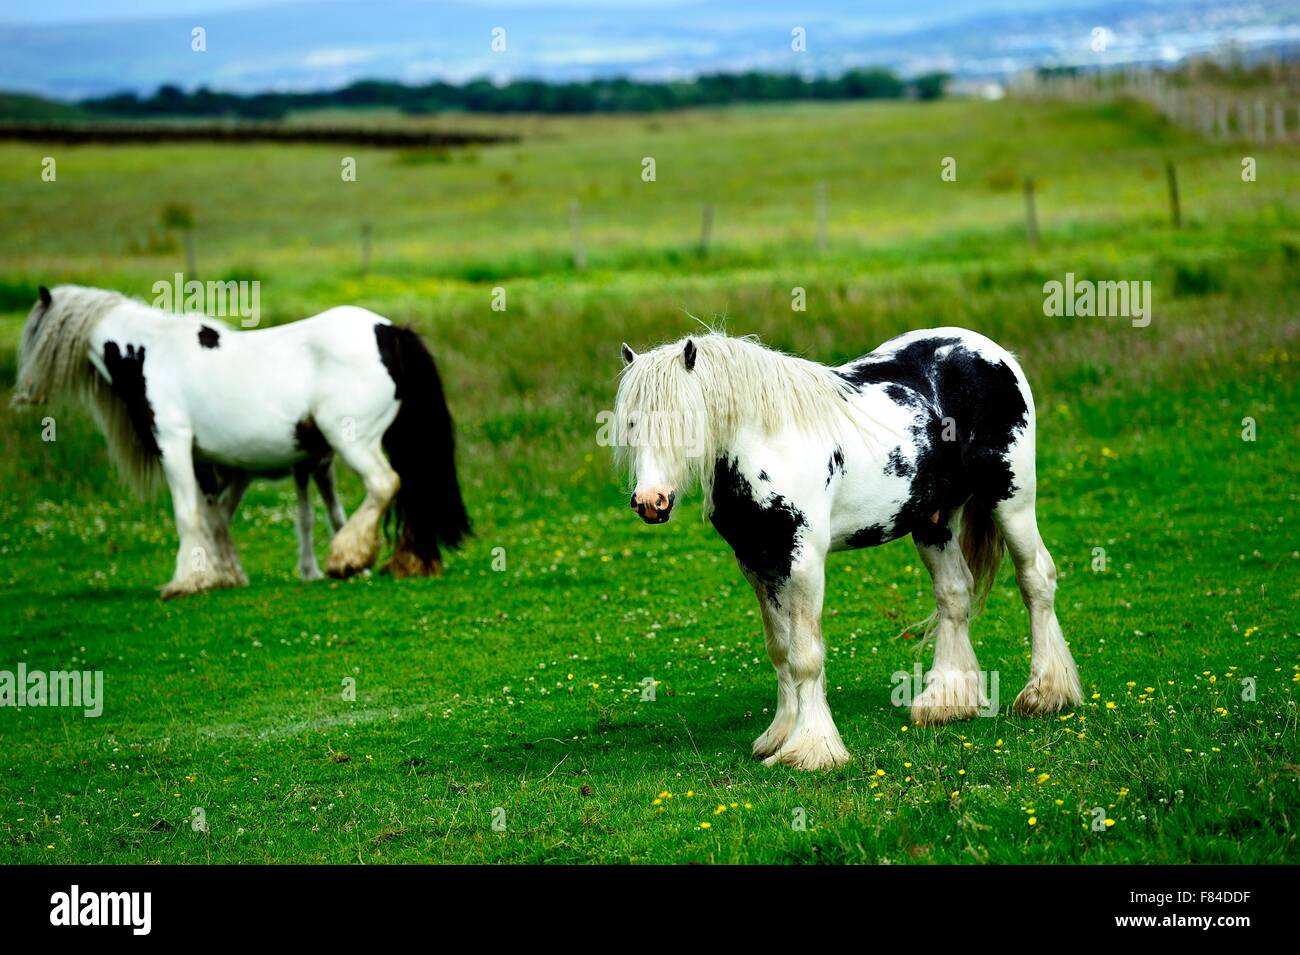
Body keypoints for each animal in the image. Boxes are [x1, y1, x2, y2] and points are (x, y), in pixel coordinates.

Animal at [12, 285, 470, 598]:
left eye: (33, 334)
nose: (23, 393)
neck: (147, 351)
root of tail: (390, 332)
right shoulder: (206, 461)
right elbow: (215, 516)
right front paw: (224, 575)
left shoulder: (173, 445)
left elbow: (189, 516)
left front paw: (185, 581)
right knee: (411, 489)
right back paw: (408, 562)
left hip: (351, 439)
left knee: (384, 484)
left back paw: (346, 557)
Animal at [614, 328, 1082, 770]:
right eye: (632, 425)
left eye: (685, 421)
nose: (650, 502)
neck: (766, 444)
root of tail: (992, 351)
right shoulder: (758, 563)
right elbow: (780, 650)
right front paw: (779, 735)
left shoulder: (803, 561)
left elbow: (804, 655)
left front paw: (810, 749)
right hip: (934, 521)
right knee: (954, 595)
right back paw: (946, 703)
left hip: (1011, 499)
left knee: (1036, 579)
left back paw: (1045, 693)